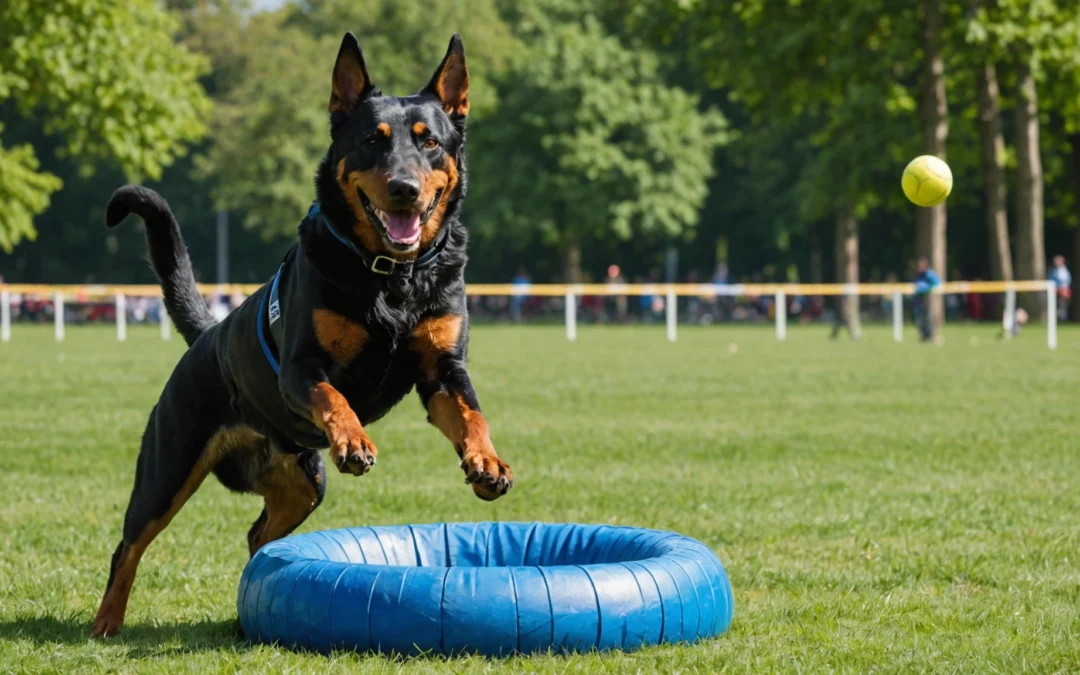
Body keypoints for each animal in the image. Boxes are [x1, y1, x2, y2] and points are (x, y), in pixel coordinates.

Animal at [90, 31, 511, 635]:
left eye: (430, 142)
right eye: (373, 141)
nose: (404, 188)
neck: (391, 275)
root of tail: (208, 337)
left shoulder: (442, 372)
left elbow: (472, 415)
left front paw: (487, 464)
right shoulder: (302, 368)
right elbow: (335, 399)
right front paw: (355, 441)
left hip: (302, 484)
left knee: (257, 536)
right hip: (168, 467)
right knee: (128, 546)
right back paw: (106, 621)